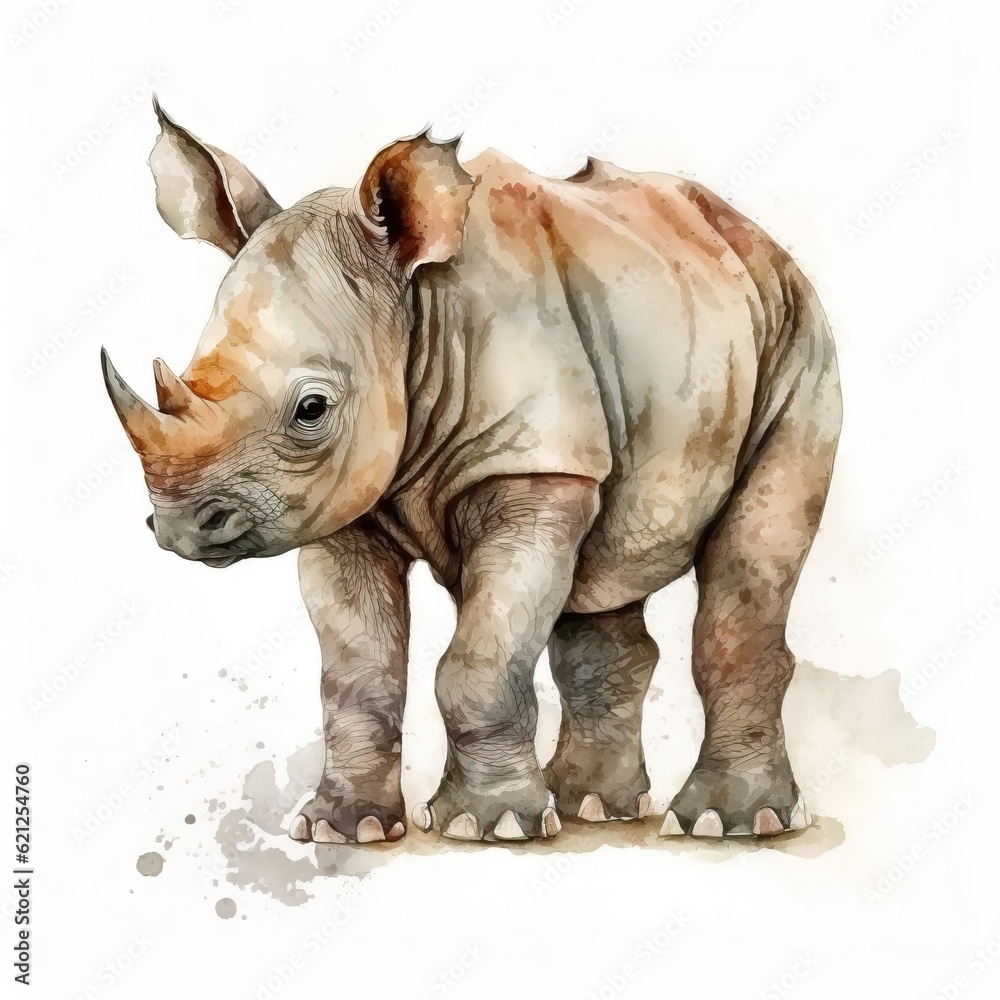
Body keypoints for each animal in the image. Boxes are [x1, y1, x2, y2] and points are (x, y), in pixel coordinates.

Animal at [102, 101, 841, 845]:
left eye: (311, 409)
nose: (180, 526)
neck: (414, 313)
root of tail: (750, 235)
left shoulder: (532, 465)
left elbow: (479, 660)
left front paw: (490, 825)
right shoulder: (342, 500)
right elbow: (356, 672)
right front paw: (343, 829)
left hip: (797, 332)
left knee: (749, 560)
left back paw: (731, 821)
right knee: (603, 577)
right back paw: (590, 806)